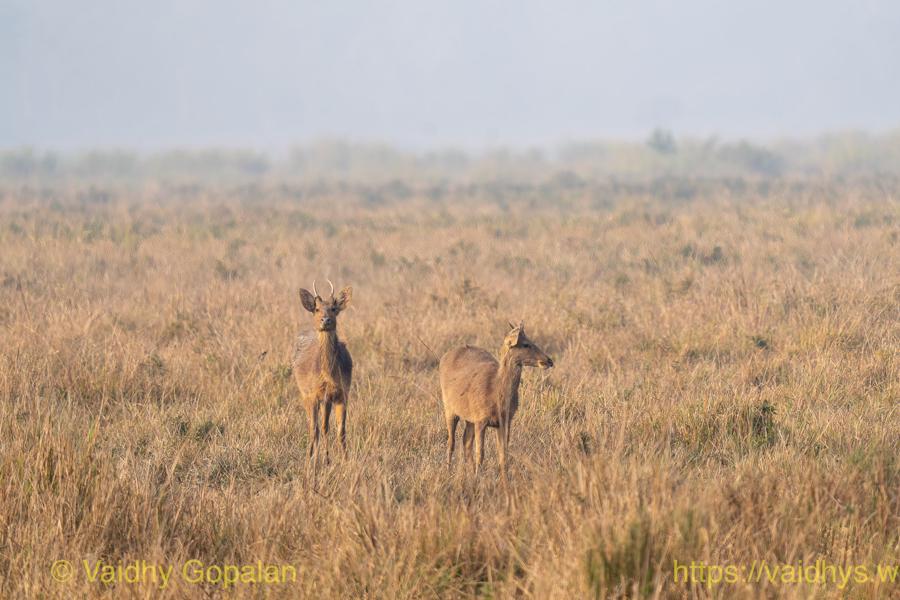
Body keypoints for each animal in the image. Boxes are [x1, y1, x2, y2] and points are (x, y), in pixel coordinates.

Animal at [292, 280, 353, 465]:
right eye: (317, 309)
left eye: (334, 308)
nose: (325, 320)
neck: (328, 376)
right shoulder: (313, 394)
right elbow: (315, 428)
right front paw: (311, 461)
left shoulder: (341, 393)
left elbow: (340, 430)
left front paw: (345, 460)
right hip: (304, 393)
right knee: (314, 426)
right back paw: (314, 456)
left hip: (326, 400)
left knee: (324, 426)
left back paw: (326, 458)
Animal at [439, 321, 553, 485]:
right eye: (525, 344)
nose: (549, 361)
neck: (497, 393)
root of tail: (444, 356)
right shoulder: (481, 420)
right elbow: (481, 453)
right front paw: (478, 479)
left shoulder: (505, 421)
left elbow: (503, 454)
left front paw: (505, 482)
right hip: (449, 409)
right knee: (451, 442)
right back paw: (448, 473)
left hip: (469, 419)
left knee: (465, 442)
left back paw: (468, 473)